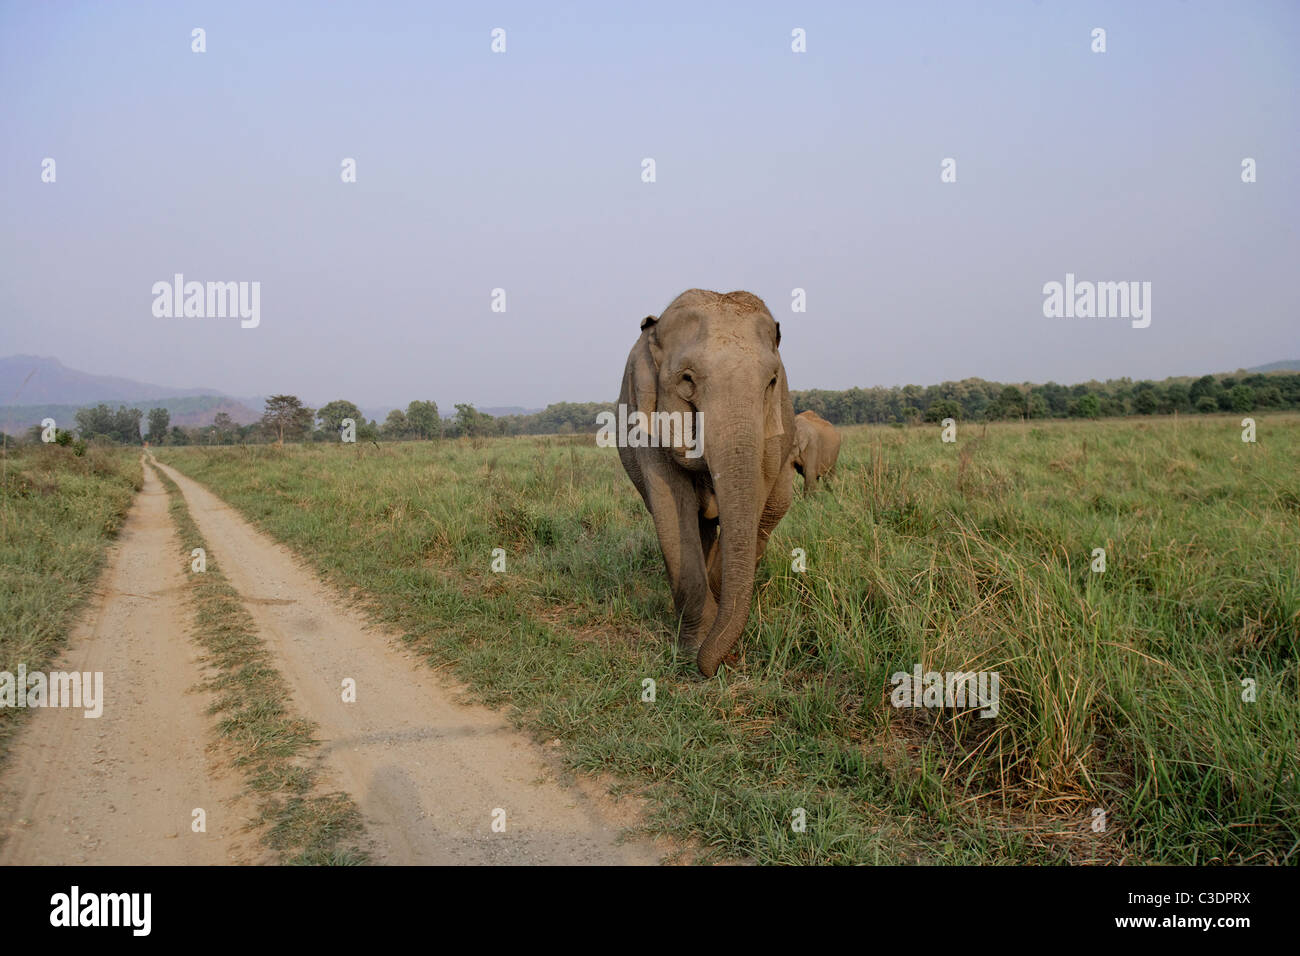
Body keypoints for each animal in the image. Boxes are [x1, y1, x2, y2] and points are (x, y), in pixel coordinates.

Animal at [616, 287, 795, 676]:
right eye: (686, 380)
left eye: (772, 382)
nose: (720, 665)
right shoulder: (645, 409)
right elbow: (671, 506)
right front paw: (693, 647)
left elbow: (754, 496)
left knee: (766, 518)